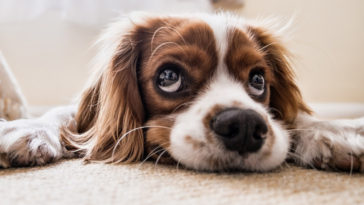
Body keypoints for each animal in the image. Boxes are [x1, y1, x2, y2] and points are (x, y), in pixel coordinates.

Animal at [0, 12, 364, 172]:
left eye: (259, 80)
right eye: (169, 77)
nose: (245, 125)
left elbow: (297, 116)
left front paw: (333, 132)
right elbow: (64, 115)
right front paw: (27, 129)